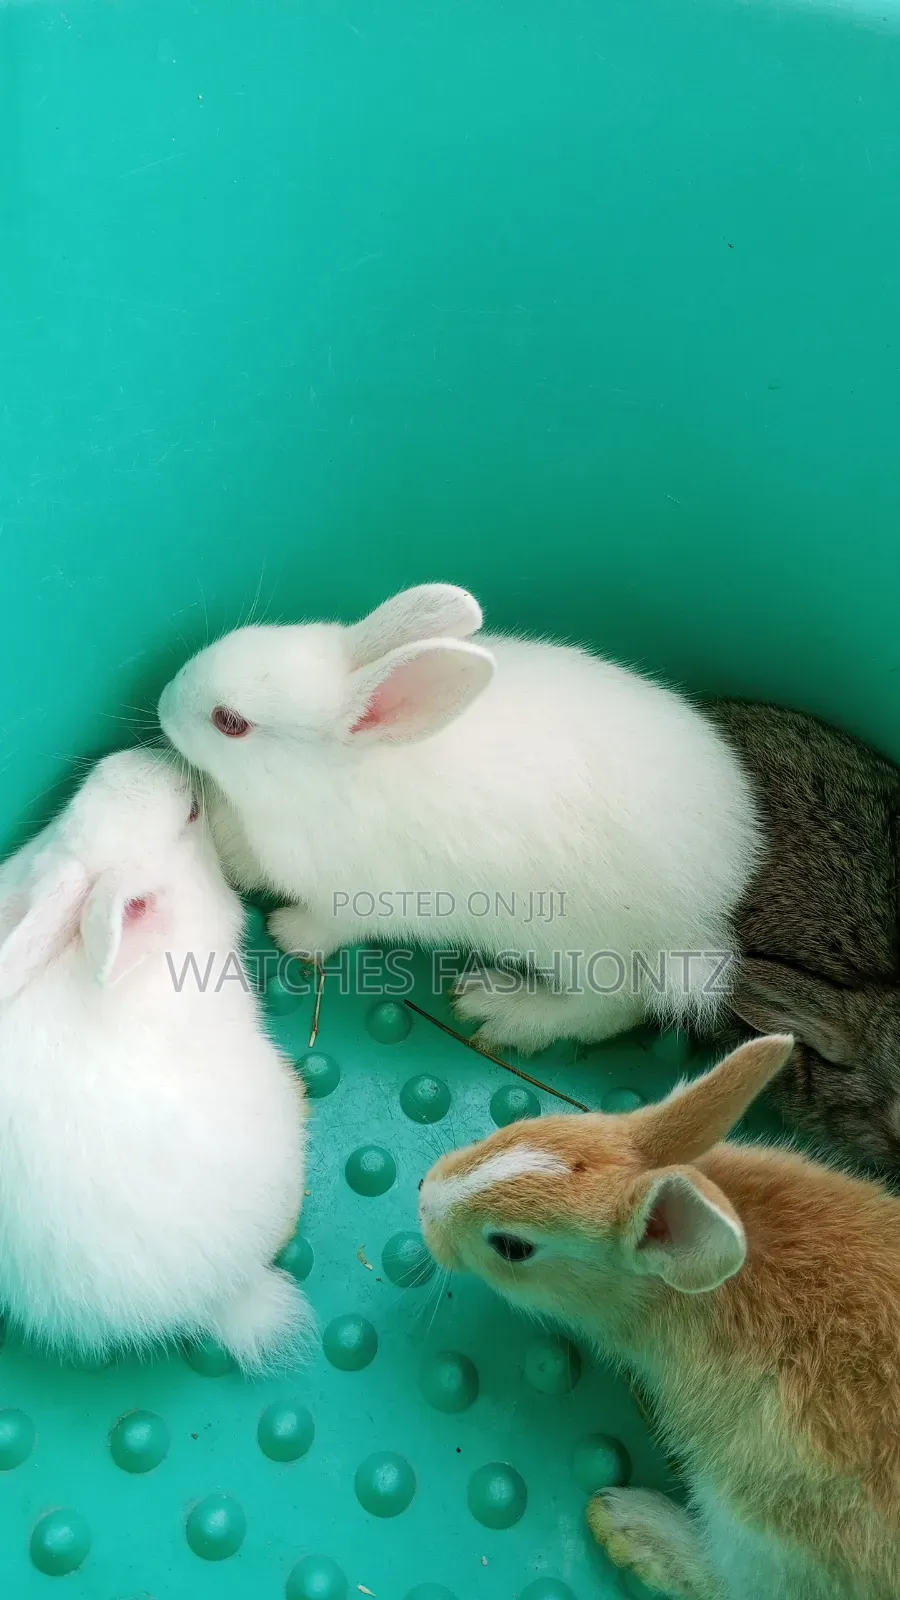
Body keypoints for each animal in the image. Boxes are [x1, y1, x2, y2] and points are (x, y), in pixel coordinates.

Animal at [157, 583, 762, 1054]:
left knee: (611, 1007)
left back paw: (502, 1008)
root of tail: (710, 909)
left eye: (230, 722)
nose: (163, 702)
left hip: (581, 950)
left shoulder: (358, 899)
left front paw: (289, 935)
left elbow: (330, 928)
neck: (322, 777)